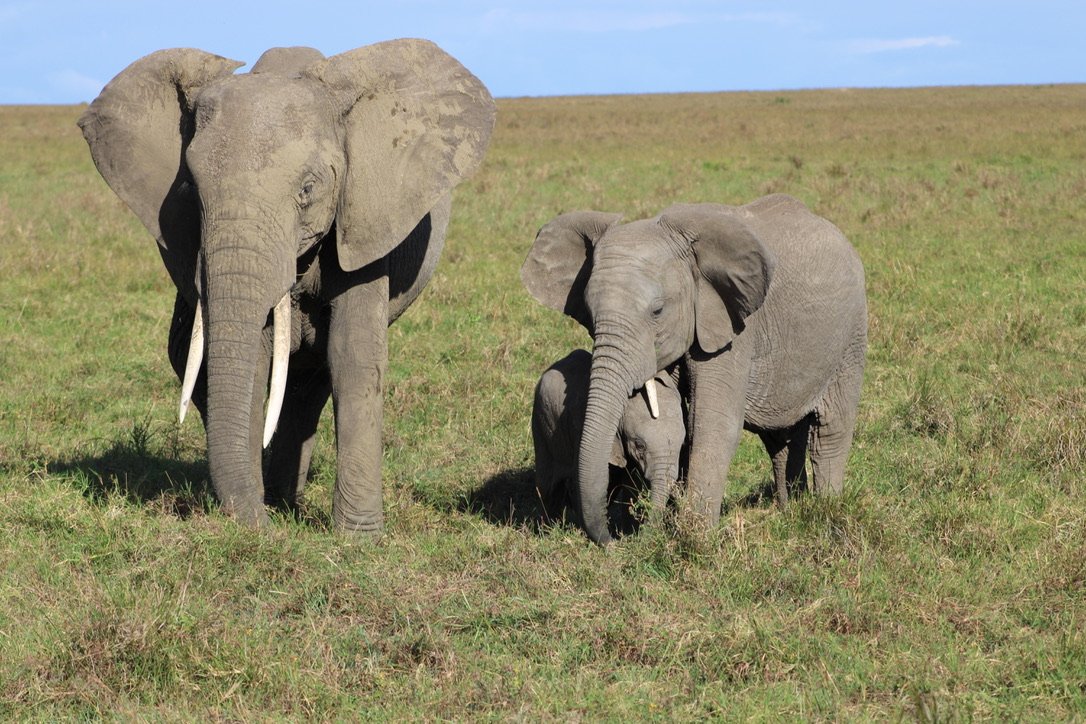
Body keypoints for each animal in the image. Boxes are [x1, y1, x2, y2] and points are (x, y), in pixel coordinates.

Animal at [79, 41, 495, 532]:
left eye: (308, 188)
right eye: (189, 190)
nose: (256, 525)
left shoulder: (366, 218)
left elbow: (353, 354)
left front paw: (358, 537)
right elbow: (254, 359)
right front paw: (259, 518)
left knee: (311, 377)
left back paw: (285, 502)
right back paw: (279, 501)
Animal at [532, 349, 685, 528]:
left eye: (682, 444)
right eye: (639, 445)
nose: (646, 529)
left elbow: (630, 481)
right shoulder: (581, 427)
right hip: (540, 423)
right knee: (547, 487)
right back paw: (549, 528)